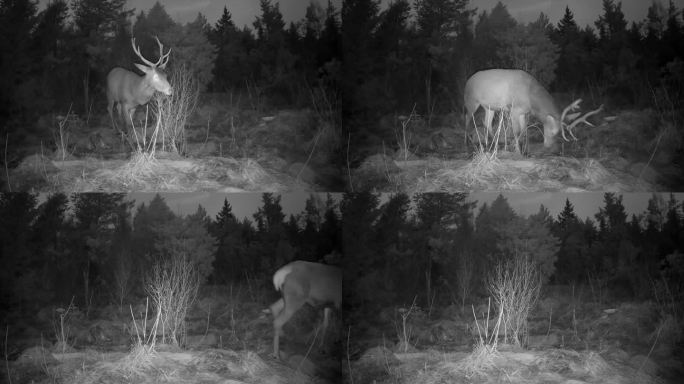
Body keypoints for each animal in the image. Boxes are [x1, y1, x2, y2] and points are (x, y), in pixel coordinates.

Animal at [462, 68, 600, 152]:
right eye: (553, 131)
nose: (549, 146)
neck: (531, 98)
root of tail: (468, 81)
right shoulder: (514, 109)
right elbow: (516, 131)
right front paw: (517, 149)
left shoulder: (523, 112)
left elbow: (524, 129)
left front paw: (517, 146)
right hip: (471, 101)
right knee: (467, 118)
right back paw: (468, 143)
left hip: (489, 106)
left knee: (486, 123)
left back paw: (492, 143)